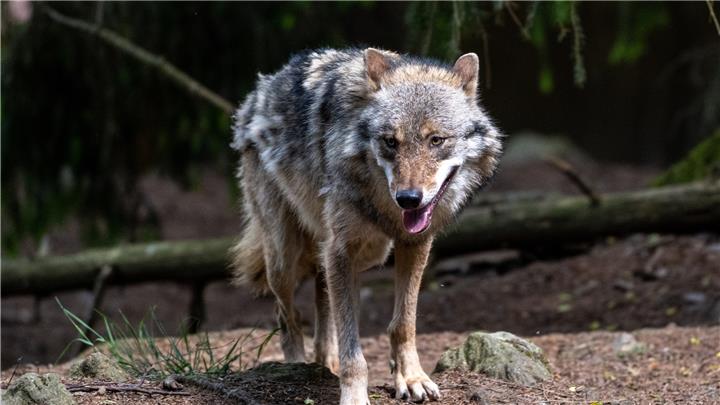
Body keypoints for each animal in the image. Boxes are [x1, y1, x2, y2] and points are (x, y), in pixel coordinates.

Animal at [231, 48, 502, 404]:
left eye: (436, 140)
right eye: (390, 142)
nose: (409, 199)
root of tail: (258, 92)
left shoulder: (414, 244)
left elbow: (403, 324)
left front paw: (411, 378)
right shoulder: (341, 251)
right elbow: (353, 351)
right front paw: (355, 395)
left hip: (363, 253)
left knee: (322, 302)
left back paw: (324, 363)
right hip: (284, 260)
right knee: (288, 317)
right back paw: (298, 366)